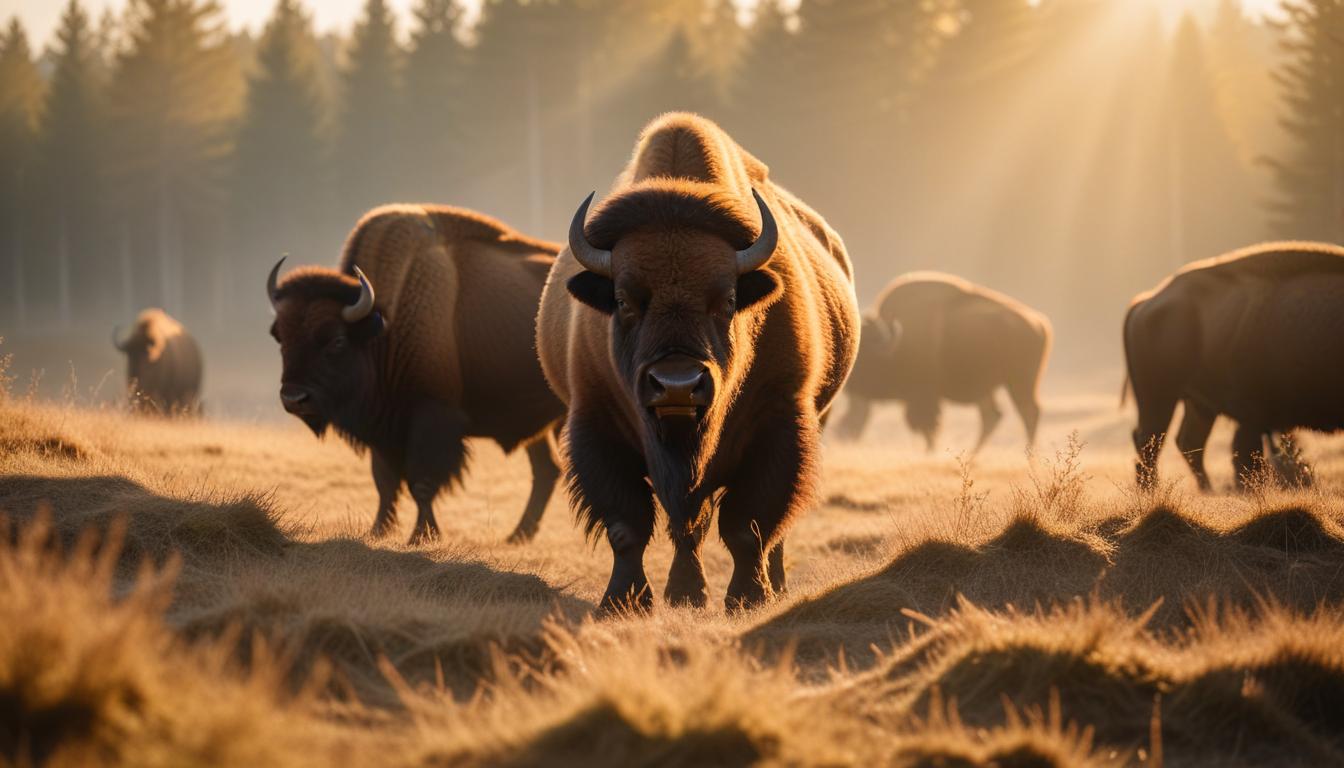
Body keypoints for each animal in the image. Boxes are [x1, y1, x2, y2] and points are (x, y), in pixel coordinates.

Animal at [267, 204, 565, 544]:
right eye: (281, 338)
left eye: (337, 341)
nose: (294, 398)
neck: (384, 324)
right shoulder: (383, 428)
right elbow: (384, 481)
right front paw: (378, 530)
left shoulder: (431, 418)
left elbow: (421, 482)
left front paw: (421, 536)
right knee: (547, 469)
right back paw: (517, 536)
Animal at [536, 113, 860, 613]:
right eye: (624, 300)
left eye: (726, 300)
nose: (677, 386)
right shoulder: (595, 422)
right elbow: (627, 527)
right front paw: (623, 601)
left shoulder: (780, 421)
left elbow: (749, 526)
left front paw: (748, 598)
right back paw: (684, 593)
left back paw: (767, 585)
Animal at [833, 272, 1051, 452]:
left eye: (864, 356)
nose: (846, 380)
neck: (894, 345)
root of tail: (1040, 324)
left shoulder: (924, 397)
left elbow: (928, 428)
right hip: (988, 389)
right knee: (992, 417)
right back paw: (973, 457)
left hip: (1020, 383)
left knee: (1029, 413)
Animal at [1125, 241, 1344, 490]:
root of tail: (1145, 302)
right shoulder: (1253, 416)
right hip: (1159, 398)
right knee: (1150, 443)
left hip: (1198, 405)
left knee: (1187, 443)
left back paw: (1208, 491)